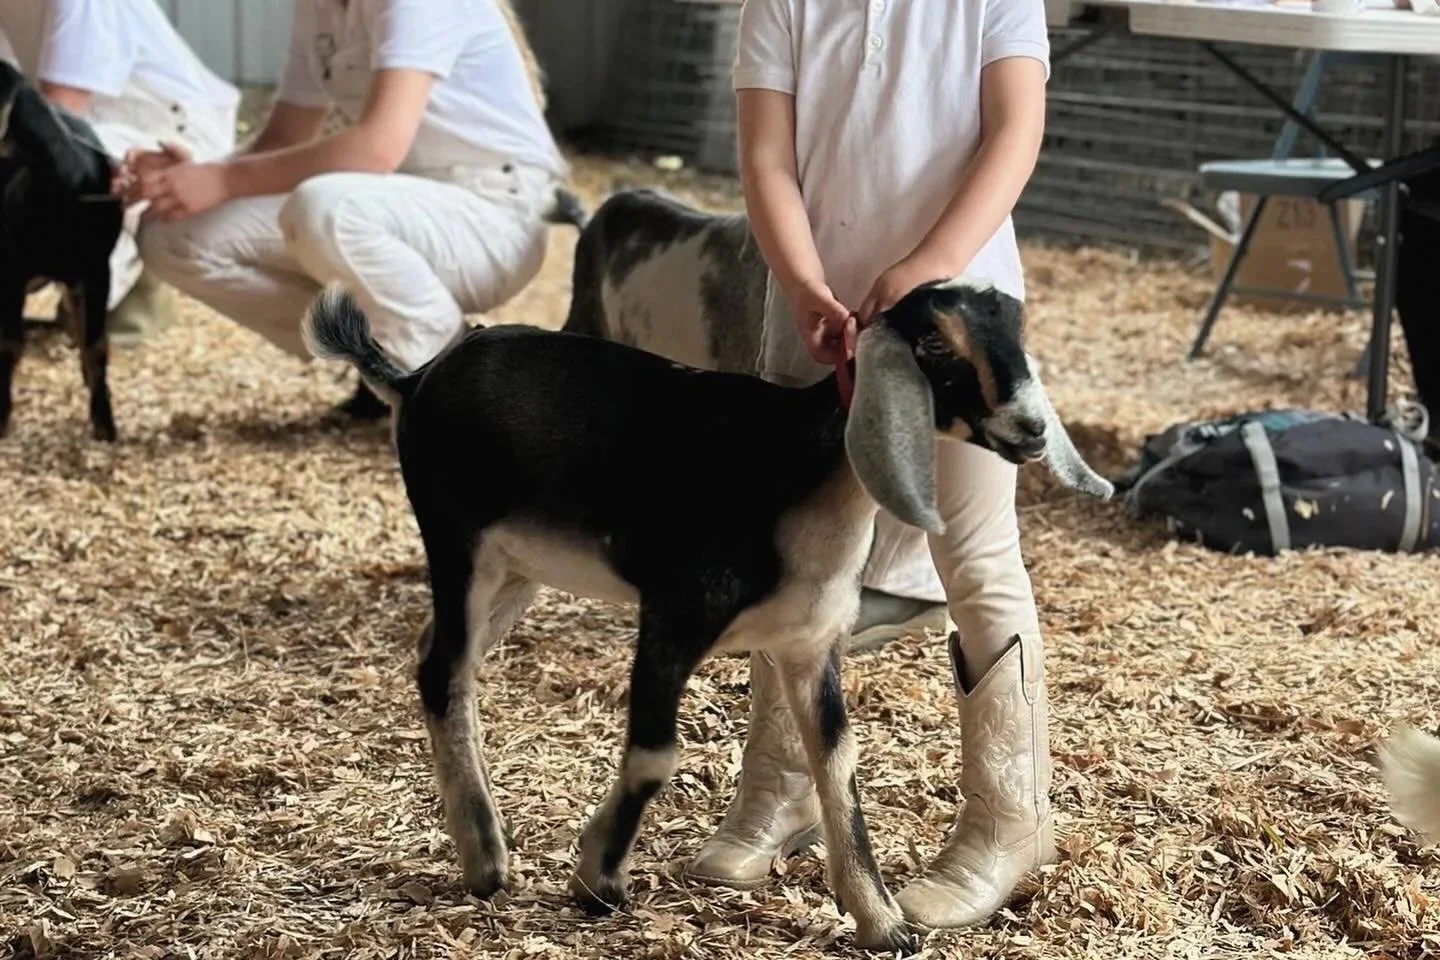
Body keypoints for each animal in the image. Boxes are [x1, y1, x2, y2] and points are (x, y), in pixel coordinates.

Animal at [0, 61, 123, 442]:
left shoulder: (97, 270)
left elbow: (97, 343)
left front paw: (104, 422)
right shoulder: (13, 271)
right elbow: (10, 344)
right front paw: (2, 419)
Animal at [303, 277, 1113, 953]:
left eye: (1016, 329)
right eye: (937, 345)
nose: (1032, 430)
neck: (795, 470)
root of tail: (417, 378)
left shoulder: (810, 646)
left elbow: (838, 767)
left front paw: (882, 923)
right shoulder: (673, 616)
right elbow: (656, 754)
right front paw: (597, 878)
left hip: (513, 570)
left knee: (440, 665)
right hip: (458, 542)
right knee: (445, 670)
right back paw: (485, 860)